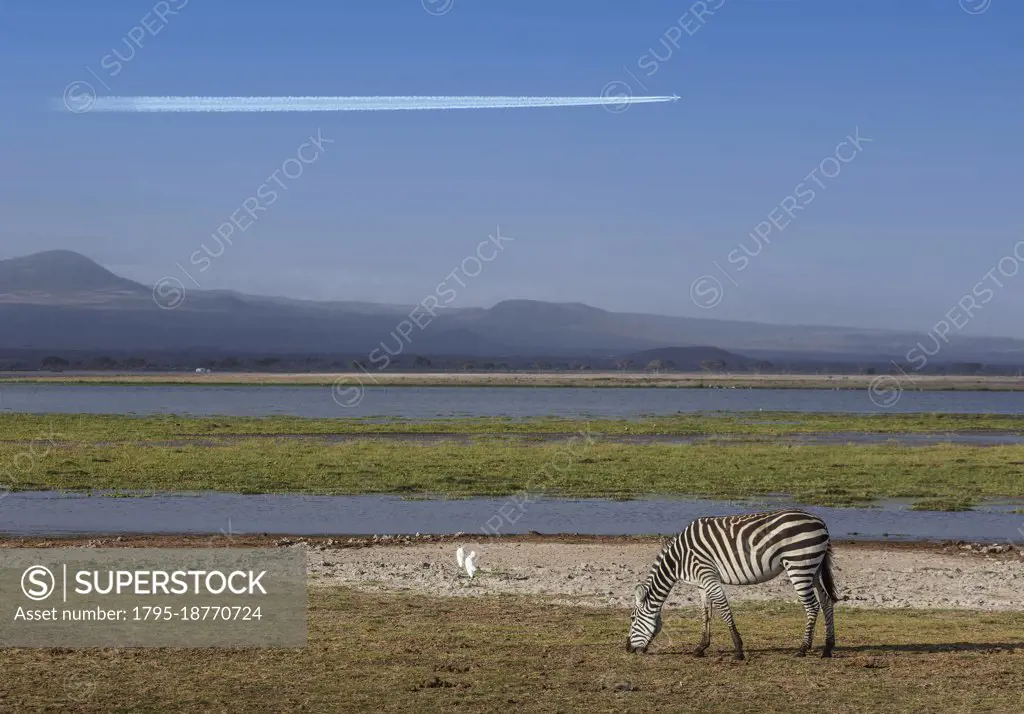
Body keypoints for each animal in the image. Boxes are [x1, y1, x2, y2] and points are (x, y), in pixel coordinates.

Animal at [622, 510, 839, 659]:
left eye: (632, 618)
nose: (628, 649)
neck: (679, 559)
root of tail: (821, 522)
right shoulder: (701, 583)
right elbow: (706, 614)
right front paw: (701, 647)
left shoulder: (708, 575)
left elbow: (724, 610)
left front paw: (738, 650)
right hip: (813, 568)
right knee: (826, 602)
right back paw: (827, 648)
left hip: (799, 566)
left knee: (813, 606)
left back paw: (803, 648)